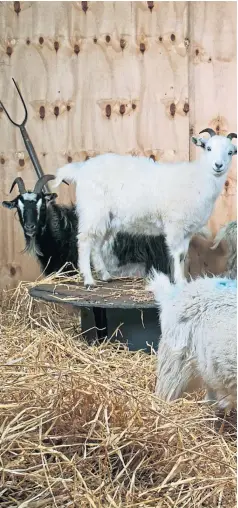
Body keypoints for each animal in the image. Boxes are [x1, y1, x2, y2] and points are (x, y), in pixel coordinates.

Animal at [52, 128, 236, 286]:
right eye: (208, 148)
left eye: (230, 152)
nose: (218, 165)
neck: (198, 178)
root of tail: (81, 169)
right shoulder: (175, 224)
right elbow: (178, 254)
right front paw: (180, 281)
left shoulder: (188, 229)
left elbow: (183, 255)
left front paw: (181, 279)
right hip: (93, 210)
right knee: (85, 241)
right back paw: (89, 280)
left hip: (107, 218)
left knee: (97, 245)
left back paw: (104, 275)